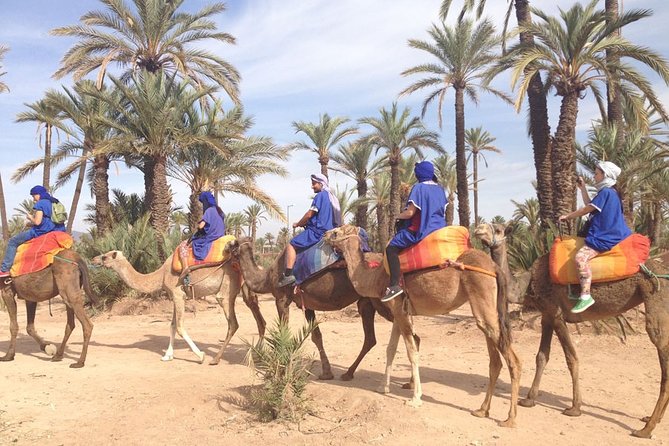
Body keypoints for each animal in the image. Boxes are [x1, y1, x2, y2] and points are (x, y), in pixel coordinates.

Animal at [92, 250, 266, 365]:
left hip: (226, 289)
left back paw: (215, 359)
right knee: (259, 319)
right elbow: (172, 325)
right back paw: (257, 354)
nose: (93, 259)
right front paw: (167, 356)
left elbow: (180, 327)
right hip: (246, 288)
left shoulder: (178, 294)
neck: (161, 275)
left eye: (105, 256)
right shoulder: (173, 295)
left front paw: (200, 355)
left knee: (233, 323)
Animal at [226, 237, 395, 381]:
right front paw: (326, 373)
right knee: (370, 338)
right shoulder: (307, 304)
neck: (267, 278)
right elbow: (316, 336)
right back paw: (348, 373)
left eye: (232, 243)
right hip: (367, 302)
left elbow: (283, 332)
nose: (225, 248)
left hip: (382, 300)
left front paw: (274, 370)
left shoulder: (281, 299)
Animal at [324, 224, 521, 427]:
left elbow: (411, 352)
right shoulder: (398, 312)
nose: (324, 234)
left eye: (336, 232)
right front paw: (383, 387)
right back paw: (482, 410)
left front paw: (415, 399)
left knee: (513, 360)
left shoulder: (400, 310)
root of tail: (494, 267)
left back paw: (509, 419)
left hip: (482, 295)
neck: (376, 278)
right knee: (495, 359)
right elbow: (391, 349)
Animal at [474, 222, 669, 438]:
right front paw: (529, 399)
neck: (528, 284)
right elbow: (541, 356)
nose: (478, 229)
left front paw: (575, 408)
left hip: (655, 296)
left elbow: (571, 358)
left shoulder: (557, 315)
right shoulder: (546, 316)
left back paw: (646, 428)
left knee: (660, 342)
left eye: (498, 229)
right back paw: (650, 420)